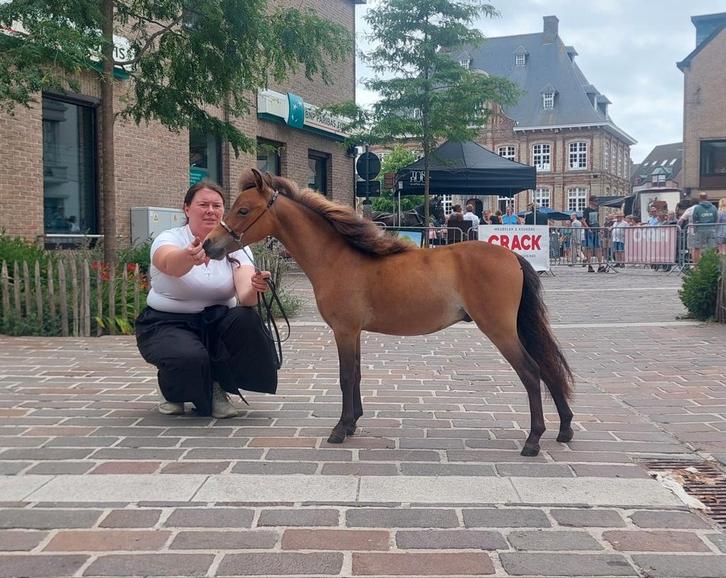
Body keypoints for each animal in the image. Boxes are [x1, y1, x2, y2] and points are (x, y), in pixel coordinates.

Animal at [203, 168, 574, 456]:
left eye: (243, 210)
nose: (209, 244)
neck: (337, 258)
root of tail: (511, 256)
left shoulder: (344, 331)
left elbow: (346, 377)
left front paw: (340, 429)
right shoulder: (353, 332)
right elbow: (355, 375)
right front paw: (352, 423)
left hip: (500, 330)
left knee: (531, 373)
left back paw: (533, 441)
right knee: (547, 368)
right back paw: (565, 428)